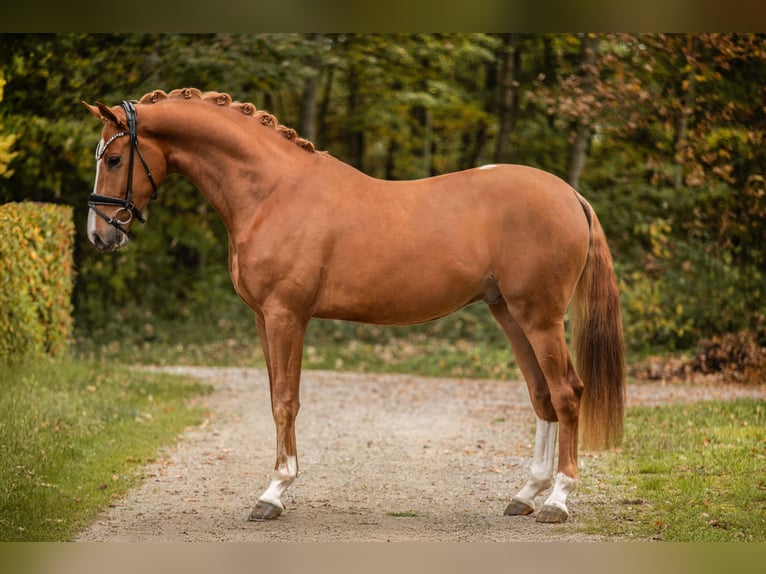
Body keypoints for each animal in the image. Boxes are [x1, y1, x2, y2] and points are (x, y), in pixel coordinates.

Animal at [83, 88, 624, 524]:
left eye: (114, 160)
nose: (99, 236)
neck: (273, 192)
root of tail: (569, 193)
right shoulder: (262, 319)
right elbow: (275, 396)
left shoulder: (286, 317)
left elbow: (285, 401)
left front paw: (274, 493)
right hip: (510, 313)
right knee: (542, 396)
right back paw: (526, 495)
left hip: (540, 317)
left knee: (567, 393)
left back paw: (557, 502)